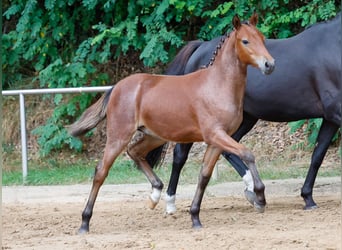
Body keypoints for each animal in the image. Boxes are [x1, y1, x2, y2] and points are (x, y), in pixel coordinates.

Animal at [69, 13, 276, 232]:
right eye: (245, 41)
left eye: (262, 39)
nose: (269, 65)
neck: (217, 86)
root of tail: (117, 87)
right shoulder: (216, 135)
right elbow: (248, 154)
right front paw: (260, 197)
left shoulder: (217, 141)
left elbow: (204, 176)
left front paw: (195, 217)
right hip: (119, 136)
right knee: (101, 171)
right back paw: (84, 222)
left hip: (154, 136)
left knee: (135, 151)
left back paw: (155, 194)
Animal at [146, 12, 340, 214]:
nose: (269, 65)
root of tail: (200, 48)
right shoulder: (336, 113)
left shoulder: (330, 119)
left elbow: (317, 156)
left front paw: (308, 197)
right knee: (180, 156)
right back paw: (170, 202)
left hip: (244, 118)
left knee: (228, 149)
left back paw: (251, 189)